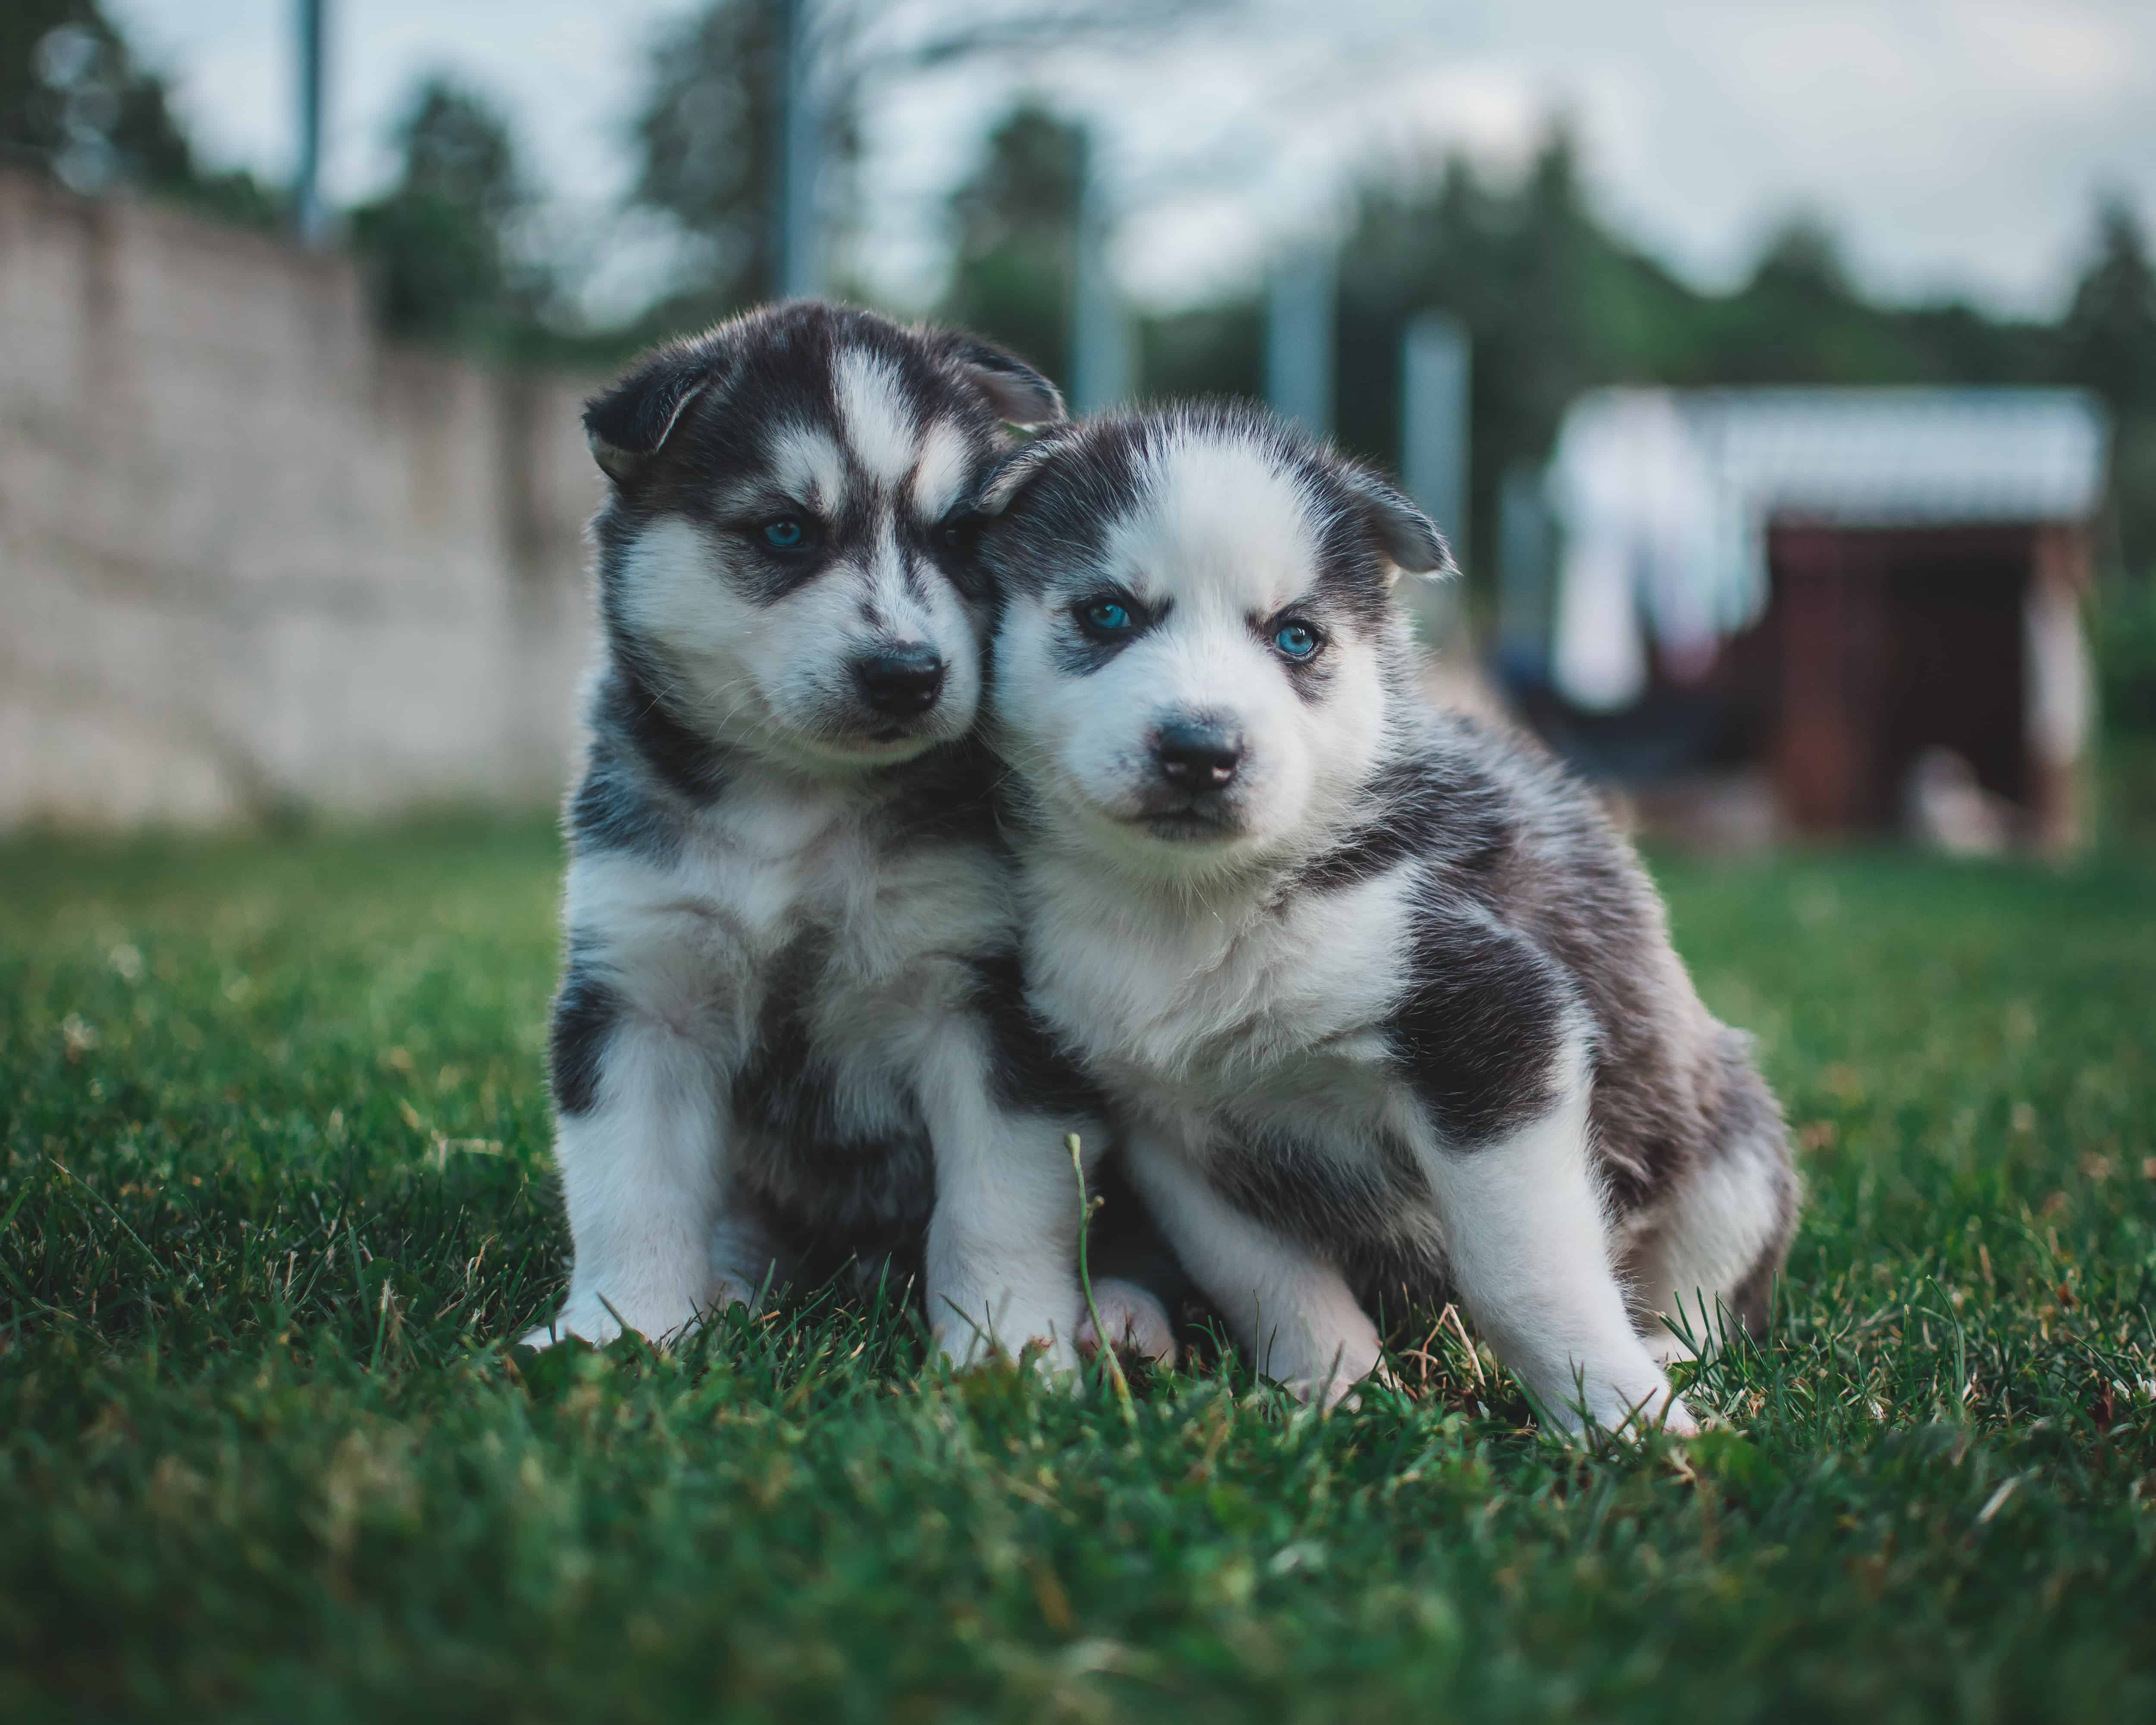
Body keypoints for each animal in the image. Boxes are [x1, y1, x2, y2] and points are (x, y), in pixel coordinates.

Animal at [515, 304, 1181, 1371]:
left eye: (954, 535)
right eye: (786, 530)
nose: (908, 672)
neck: (799, 805)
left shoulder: (983, 996)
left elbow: (999, 1201)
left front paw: (1006, 1345)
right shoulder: (640, 988)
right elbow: (631, 1191)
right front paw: (618, 1330)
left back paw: (1122, 1311)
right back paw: (731, 1285)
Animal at [970, 401, 1794, 1432]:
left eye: (1296, 638)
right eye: (1107, 613)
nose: (1201, 750)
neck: (1194, 907)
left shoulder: (1493, 1025)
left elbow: (1526, 1271)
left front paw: (1621, 1417)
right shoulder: (1169, 1126)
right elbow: (1267, 1280)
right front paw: (1333, 1393)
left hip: (1733, 1147)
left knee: (1711, 1290)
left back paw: (1672, 1358)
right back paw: (1128, 1324)